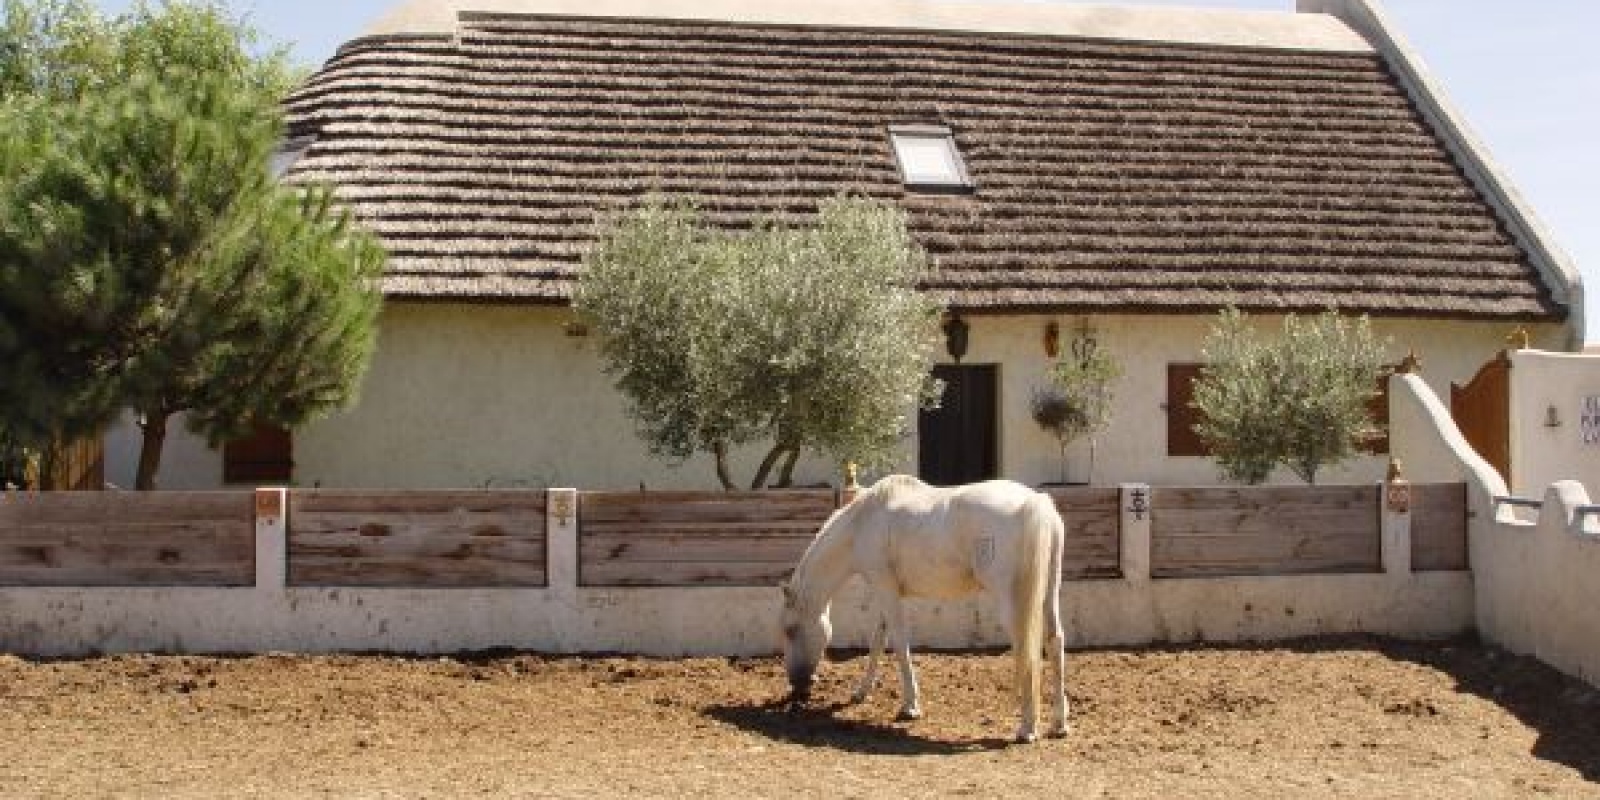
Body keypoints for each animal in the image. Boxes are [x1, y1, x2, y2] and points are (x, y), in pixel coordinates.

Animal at [778, 474, 1069, 743]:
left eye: (790, 630)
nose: (797, 684)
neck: (862, 522)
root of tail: (1034, 502)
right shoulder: (887, 593)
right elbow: (877, 640)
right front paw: (862, 691)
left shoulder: (885, 588)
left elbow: (898, 642)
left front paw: (910, 706)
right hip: (1049, 594)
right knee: (1054, 640)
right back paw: (1059, 723)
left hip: (1014, 603)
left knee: (1026, 648)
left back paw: (1027, 729)